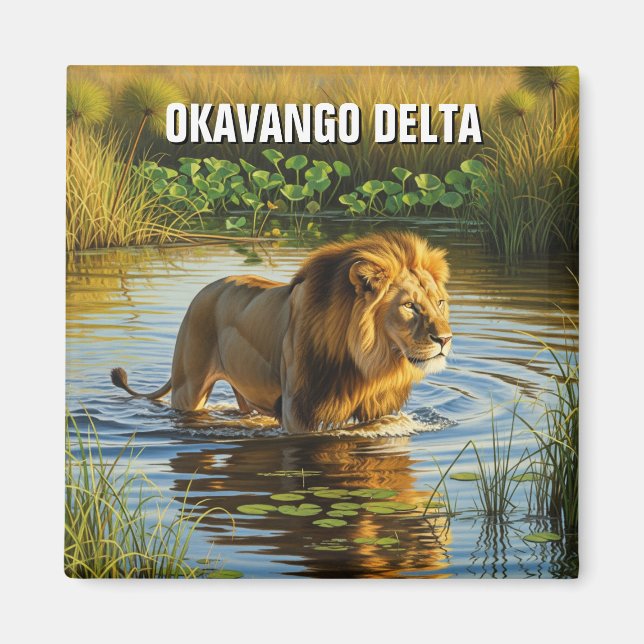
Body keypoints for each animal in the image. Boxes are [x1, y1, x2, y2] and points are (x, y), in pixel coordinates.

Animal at [111, 231, 452, 434]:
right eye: (409, 306)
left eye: (439, 302)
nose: (445, 339)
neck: (368, 365)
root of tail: (206, 289)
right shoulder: (299, 415)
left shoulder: (378, 412)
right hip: (188, 387)